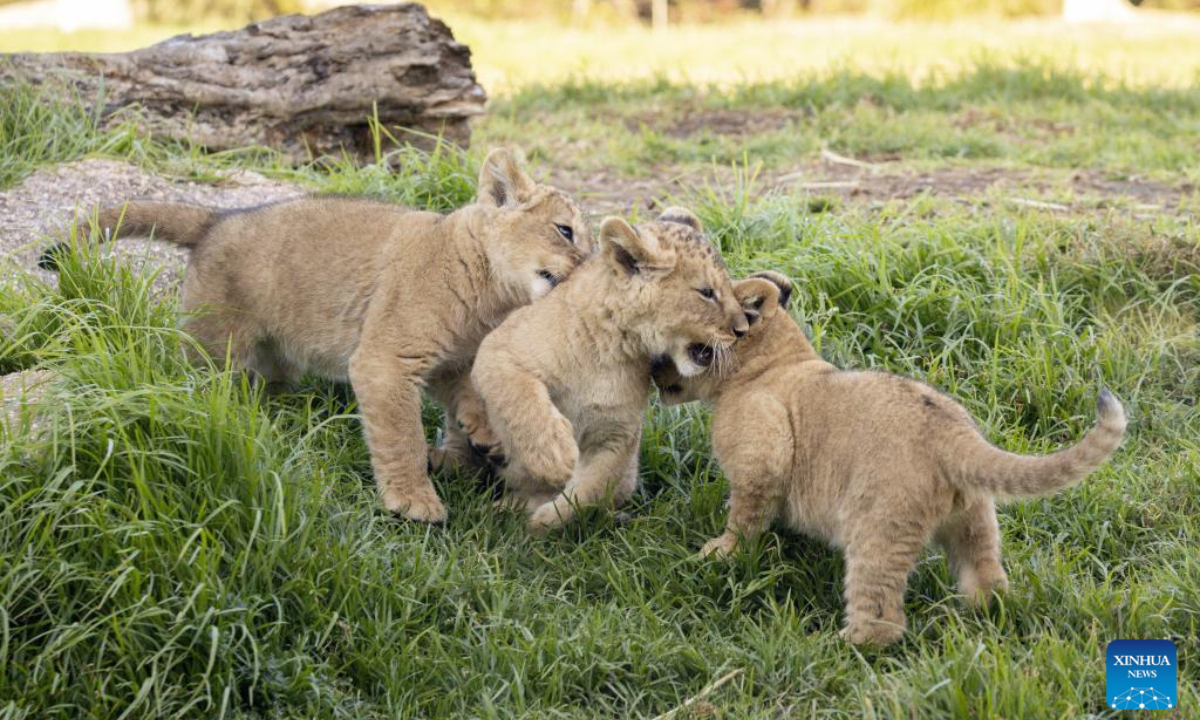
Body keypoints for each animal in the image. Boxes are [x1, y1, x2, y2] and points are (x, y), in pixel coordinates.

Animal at [40, 149, 592, 523]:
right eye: (564, 231)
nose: (588, 268)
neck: (489, 294)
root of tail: (217, 220)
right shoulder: (386, 357)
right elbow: (401, 435)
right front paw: (413, 501)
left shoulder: (450, 359)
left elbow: (470, 391)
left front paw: (485, 433)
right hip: (214, 347)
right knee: (204, 385)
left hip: (276, 357)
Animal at [470, 208, 749, 532]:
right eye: (706, 292)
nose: (742, 329)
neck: (615, 347)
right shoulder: (498, 348)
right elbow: (522, 399)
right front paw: (555, 456)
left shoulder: (617, 433)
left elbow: (593, 486)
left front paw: (548, 520)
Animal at [653, 271, 1127, 646]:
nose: (653, 369)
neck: (769, 363)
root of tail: (952, 433)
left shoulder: (763, 455)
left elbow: (745, 515)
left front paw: (722, 554)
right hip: (973, 520)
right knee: (986, 580)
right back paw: (986, 616)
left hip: (878, 525)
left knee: (883, 616)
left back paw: (837, 645)